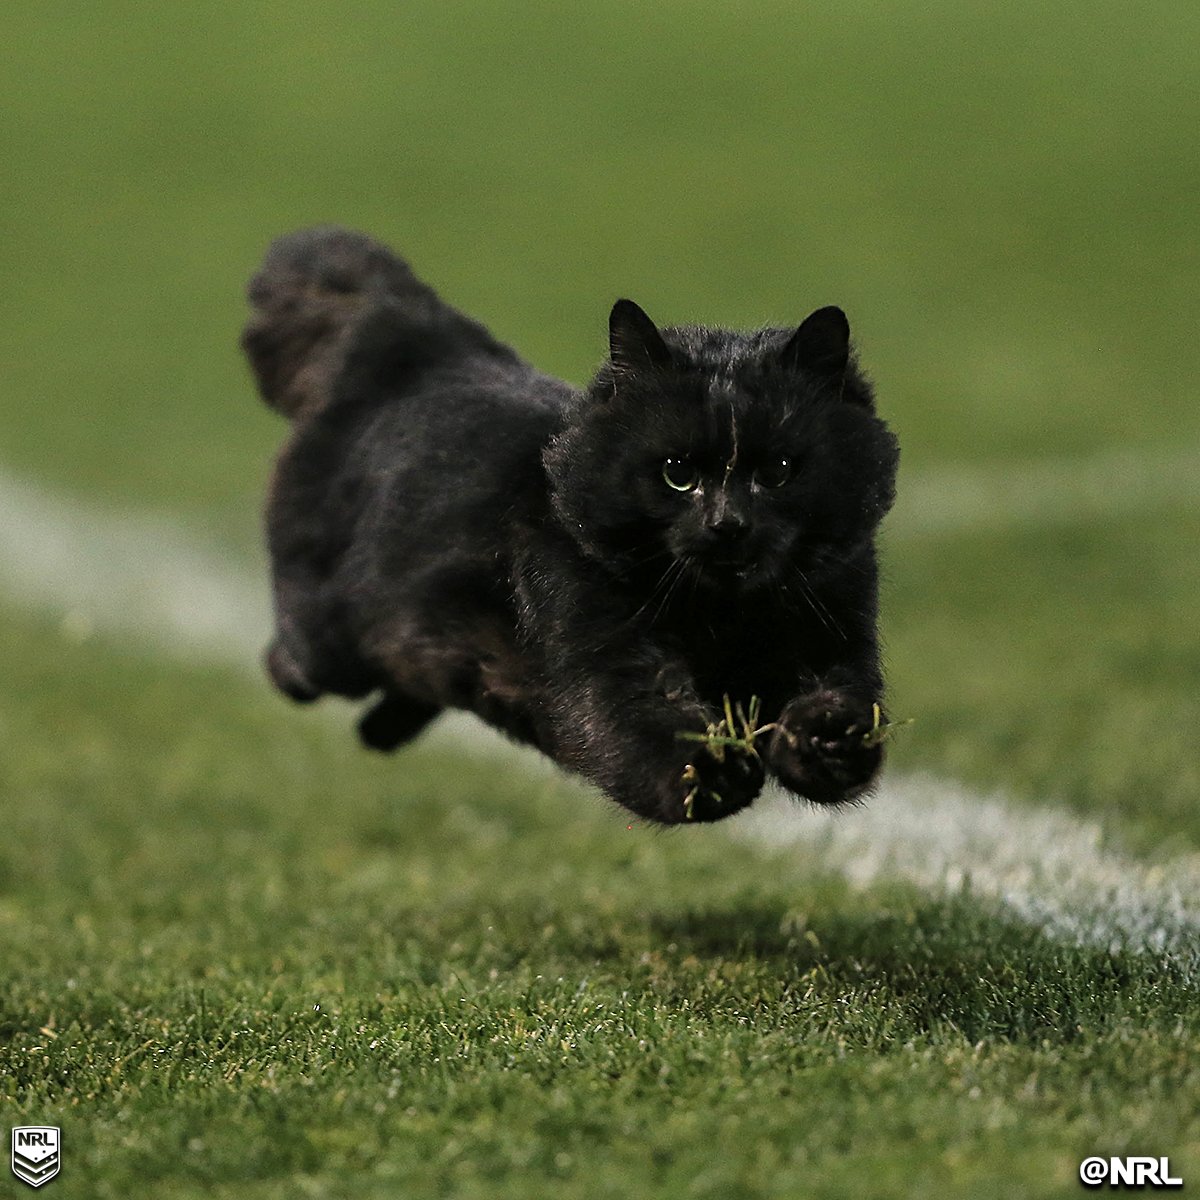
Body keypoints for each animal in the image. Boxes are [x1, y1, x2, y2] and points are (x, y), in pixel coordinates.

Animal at [243, 225, 897, 825]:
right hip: (330, 645)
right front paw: (713, 769)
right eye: (678, 473)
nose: (728, 523)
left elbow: (843, 698)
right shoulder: (604, 660)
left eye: (779, 472)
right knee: (291, 661)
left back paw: (381, 733)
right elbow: (648, 723)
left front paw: (828, 742)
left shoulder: (836, 633)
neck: (723, 615)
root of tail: (410, 336)